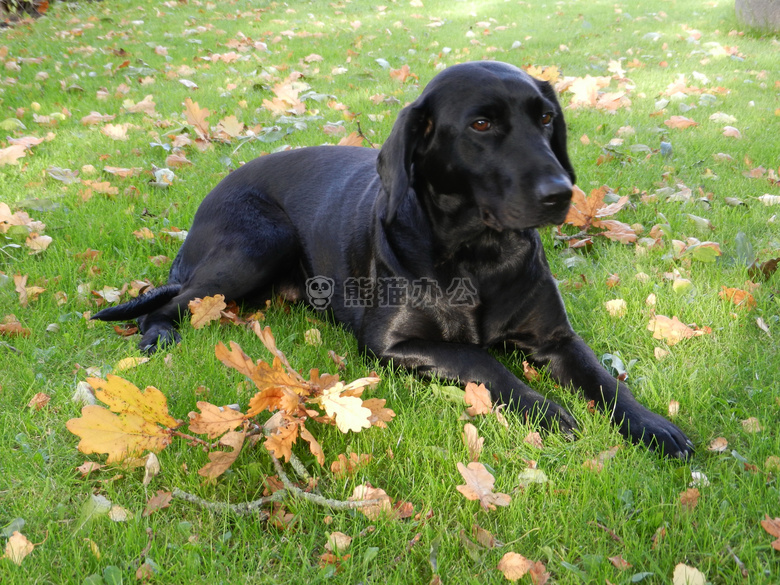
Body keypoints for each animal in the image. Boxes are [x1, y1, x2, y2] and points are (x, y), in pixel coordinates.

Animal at [93, 61, 696, 458]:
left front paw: (654, 426)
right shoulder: (388, 343)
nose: (560, 193)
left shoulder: (557, 340)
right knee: (168, 303)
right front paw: (549, 411)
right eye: (481, 124)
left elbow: (605, 381)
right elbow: (482, 361)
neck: (479, 257)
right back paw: (158, 336)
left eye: (547, 118)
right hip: (257, 245)